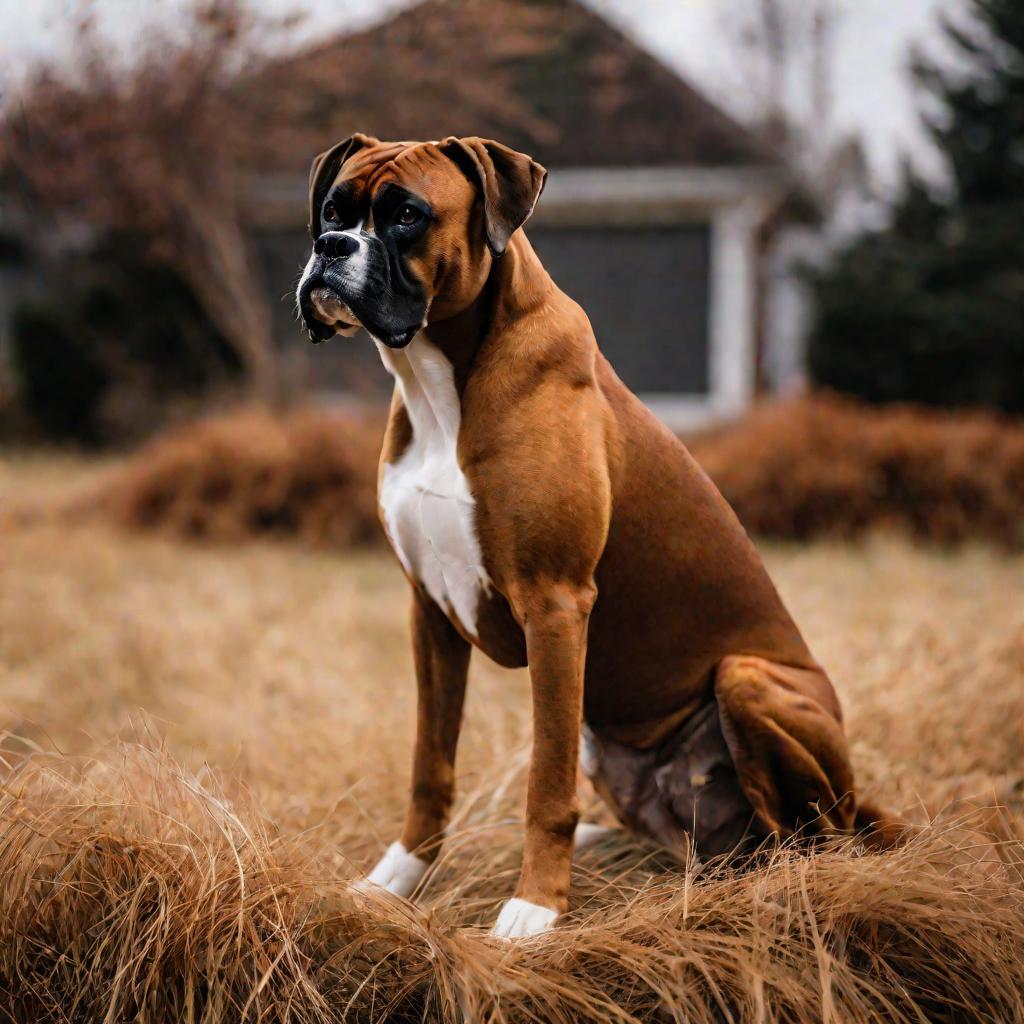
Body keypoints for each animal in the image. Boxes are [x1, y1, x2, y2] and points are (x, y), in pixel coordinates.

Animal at [299, 134, 888, 937]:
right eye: (332, 210)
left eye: (408, 216)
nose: (330, 248)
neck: (437, 380)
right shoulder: (431, 613)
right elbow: (431, 764)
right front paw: (396, 882)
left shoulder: (555, 607)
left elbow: (544, 785)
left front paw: (534, 908)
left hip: (749, 682)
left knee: (806, 838)